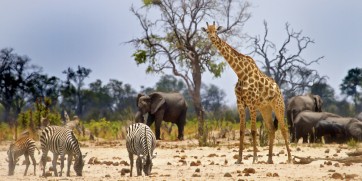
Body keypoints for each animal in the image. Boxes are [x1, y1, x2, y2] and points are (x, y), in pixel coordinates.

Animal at [202, 21, 292, 165]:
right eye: (207, 31)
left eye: (216, 30)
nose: (212, 37)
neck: (240, 73)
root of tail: (278, 89)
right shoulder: (240, 104)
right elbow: (241, 131)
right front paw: (239, 159)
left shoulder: (252, 103)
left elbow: (254, 131)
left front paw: (255, 158)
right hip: (265, 108)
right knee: (271, 129)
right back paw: (269, 159)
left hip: (278, 105)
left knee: (283, 128)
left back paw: (289, 158)